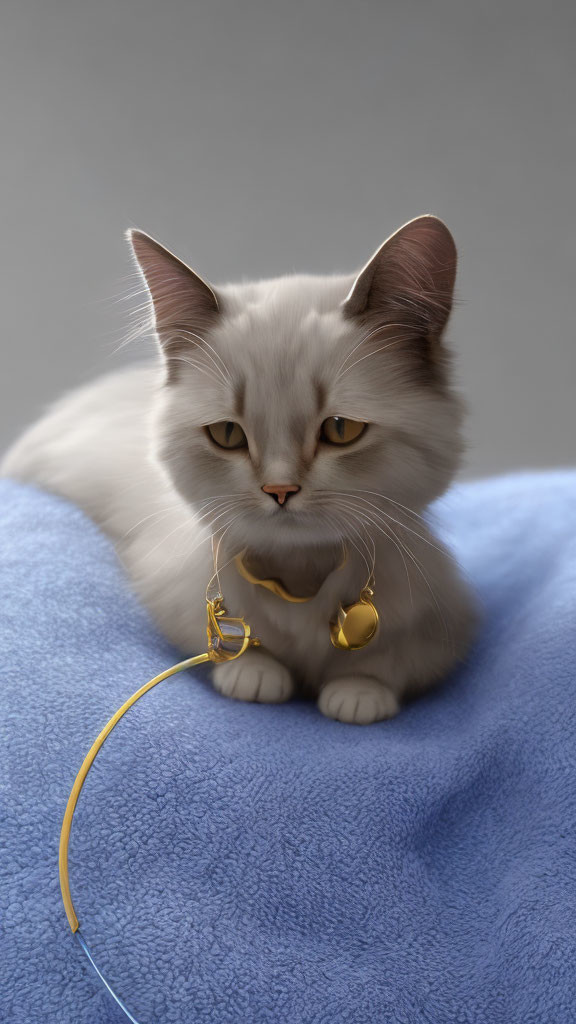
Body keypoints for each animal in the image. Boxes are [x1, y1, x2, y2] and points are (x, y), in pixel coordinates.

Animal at [1, 217, 475, 724]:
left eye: (341, 430)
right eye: (227, 434)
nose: (280, 490)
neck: (300, 576)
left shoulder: (444, 624)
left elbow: (386, 663)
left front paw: (358, 695)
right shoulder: (167, 590)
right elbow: (230, 647)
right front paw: (256, 676)